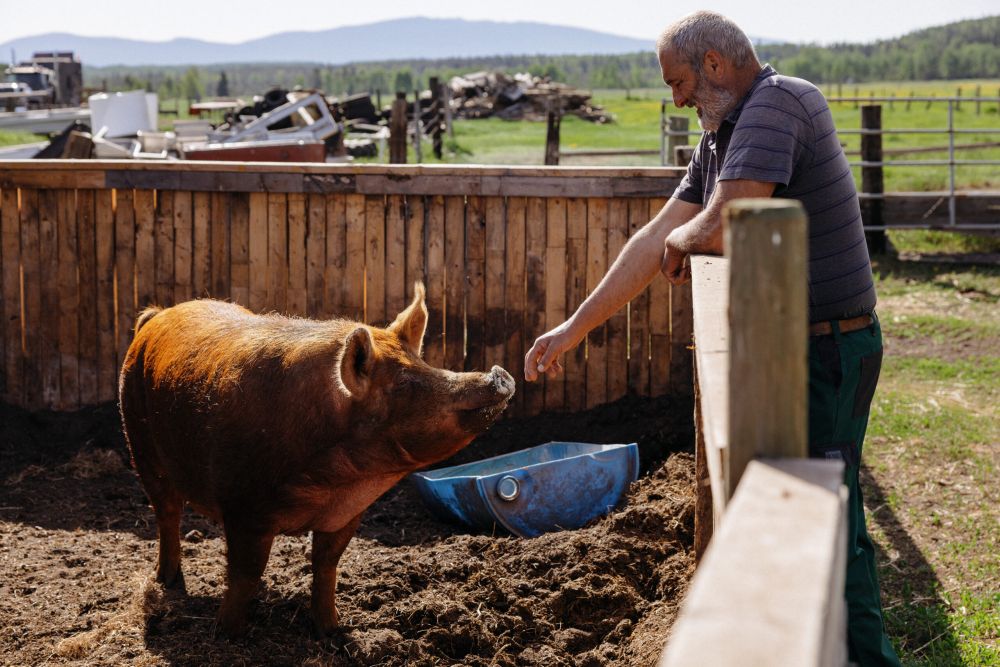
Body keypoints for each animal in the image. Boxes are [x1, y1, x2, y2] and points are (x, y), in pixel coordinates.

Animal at [119, 284, 516, 636]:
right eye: (405, 384)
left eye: (424, 364)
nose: (499, 374)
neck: (333, 484)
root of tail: (156, 316)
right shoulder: (244, 507)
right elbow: (246, 573)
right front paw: (227, 633)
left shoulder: (345, 515)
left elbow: (326, 566)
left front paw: (332, 631)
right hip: (141, 446)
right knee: (167, 515)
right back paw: (168, 581)